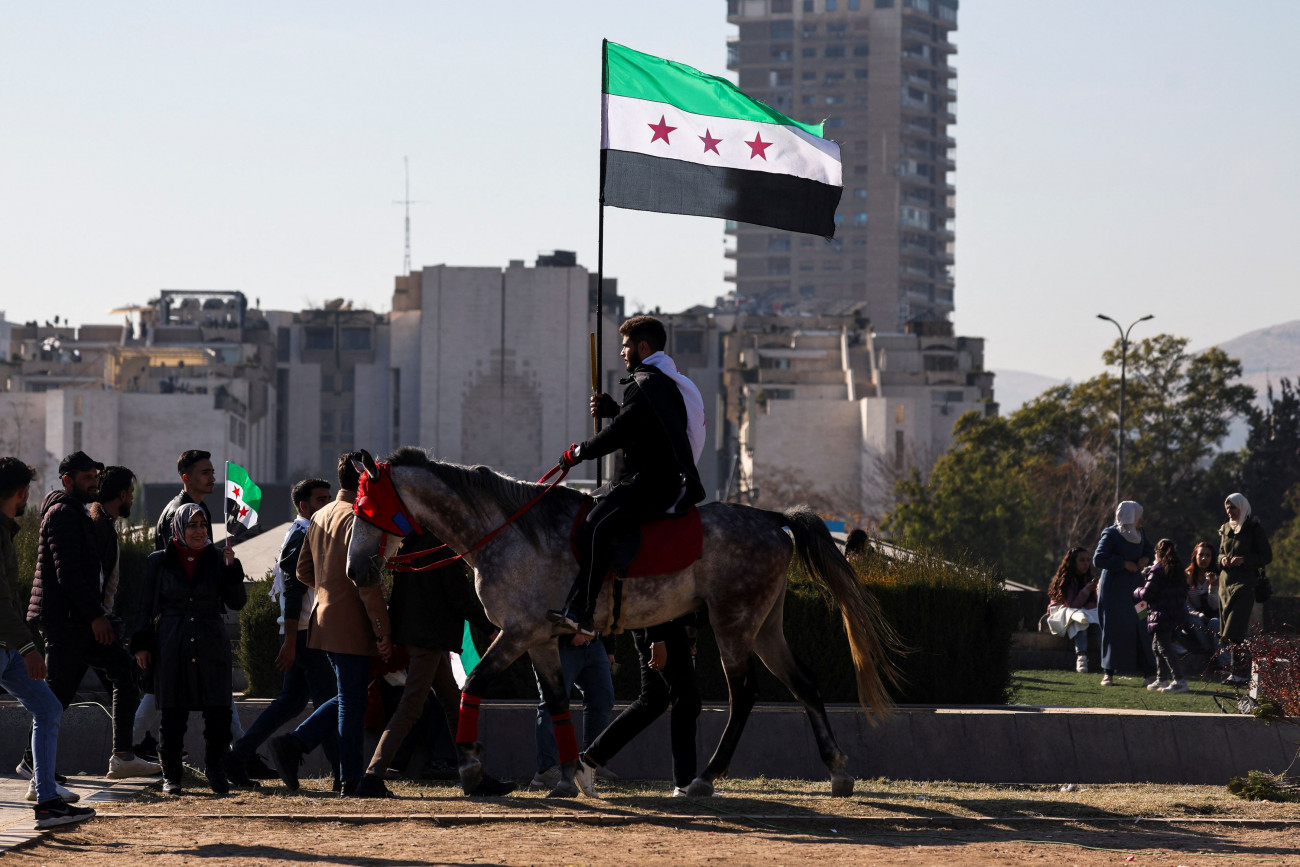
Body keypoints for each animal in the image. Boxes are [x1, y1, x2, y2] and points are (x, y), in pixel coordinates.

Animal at [343, 452, 894, 795]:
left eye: (369, 508)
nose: (356, 571)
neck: (507, 531)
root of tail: (771, 518)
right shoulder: (540, 638)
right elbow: (557, 702)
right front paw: (571, 775)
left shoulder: (517, 631)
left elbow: (473, 683)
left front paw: (474, 770)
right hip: (764, 626)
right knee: (803, 683)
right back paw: (837, 770)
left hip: (734, 622)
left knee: (744, 695)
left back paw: (705, 777)